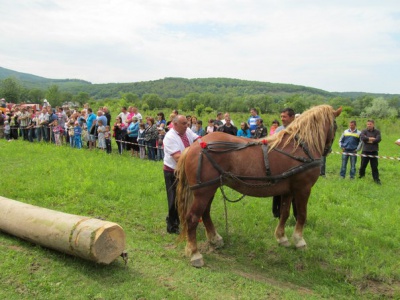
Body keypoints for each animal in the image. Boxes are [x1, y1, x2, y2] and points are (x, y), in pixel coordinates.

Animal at [175, 103, 340, 268]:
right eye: (336, 126)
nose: (328, 150)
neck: (300, 146)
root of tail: (194, 146)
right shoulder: (303, 189)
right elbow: (302, 215)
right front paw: (299, 241)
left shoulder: (288, 190)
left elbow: (285, 213)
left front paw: (282, 237)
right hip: (203, 191)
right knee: (193, 218)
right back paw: (195, 253)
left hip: (210, 188)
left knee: (205, 213)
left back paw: (215, 238)